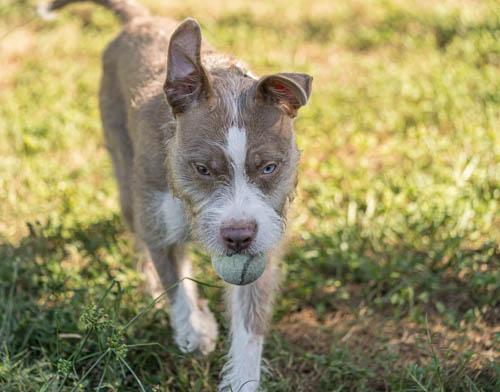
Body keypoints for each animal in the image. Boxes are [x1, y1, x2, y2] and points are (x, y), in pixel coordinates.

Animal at [39, 1, 312, 390]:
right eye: (202, 169)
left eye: (269, 168)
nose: (238, 236)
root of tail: (139, 20)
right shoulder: (159, 224)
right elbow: (175, 281)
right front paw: (195, 331)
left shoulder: (263, 243)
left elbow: (249, 323)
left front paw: (241, 378)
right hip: (127, 180)